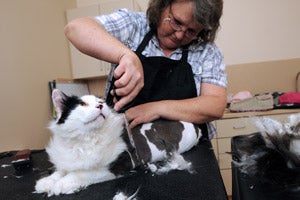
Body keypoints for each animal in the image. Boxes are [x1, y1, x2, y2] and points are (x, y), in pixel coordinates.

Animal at [34, 89, 202, 195]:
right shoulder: (70, 161)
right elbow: (61, 171)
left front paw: (62, 184)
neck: (85, 140)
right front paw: (46, 182)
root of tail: (195, 126)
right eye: (82, 104)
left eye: (100, 102)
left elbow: (82, 174)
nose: (100, 106)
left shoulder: (119, 165)